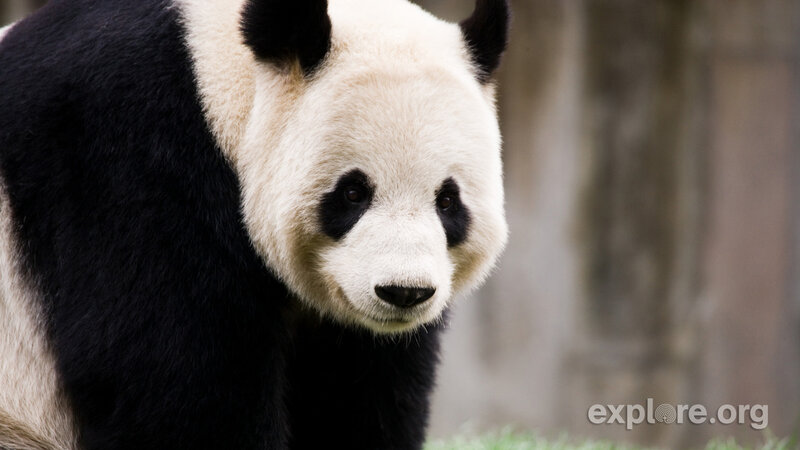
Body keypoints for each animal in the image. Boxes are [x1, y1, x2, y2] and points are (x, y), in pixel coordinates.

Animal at [0, 0, 509, 448]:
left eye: (447, 201)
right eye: (353, 192)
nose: (404, 292)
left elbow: (360, 391)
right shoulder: (122, 168)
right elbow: (173, 383)